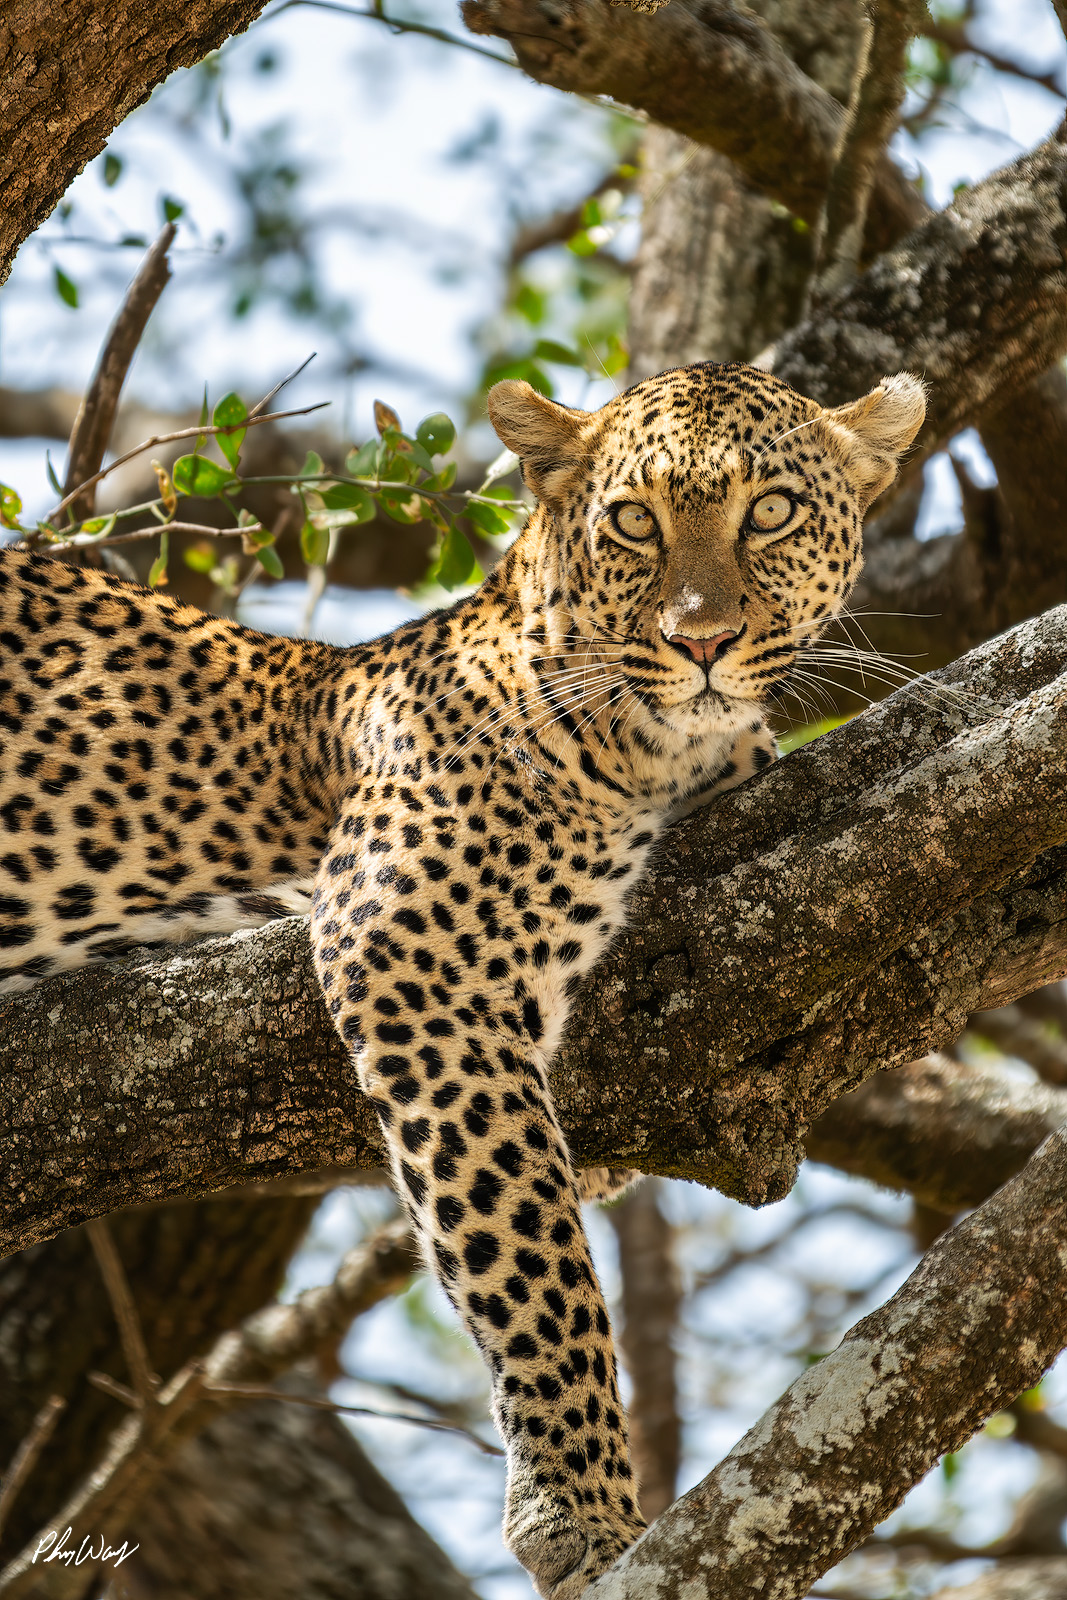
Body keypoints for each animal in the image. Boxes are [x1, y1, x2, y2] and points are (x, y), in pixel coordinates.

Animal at [0, 360, 924, 1597]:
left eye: (768, 512)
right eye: (634, 523)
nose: (702, 641)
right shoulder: (408, 951)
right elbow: (530, 1253)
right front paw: (583, 1511)